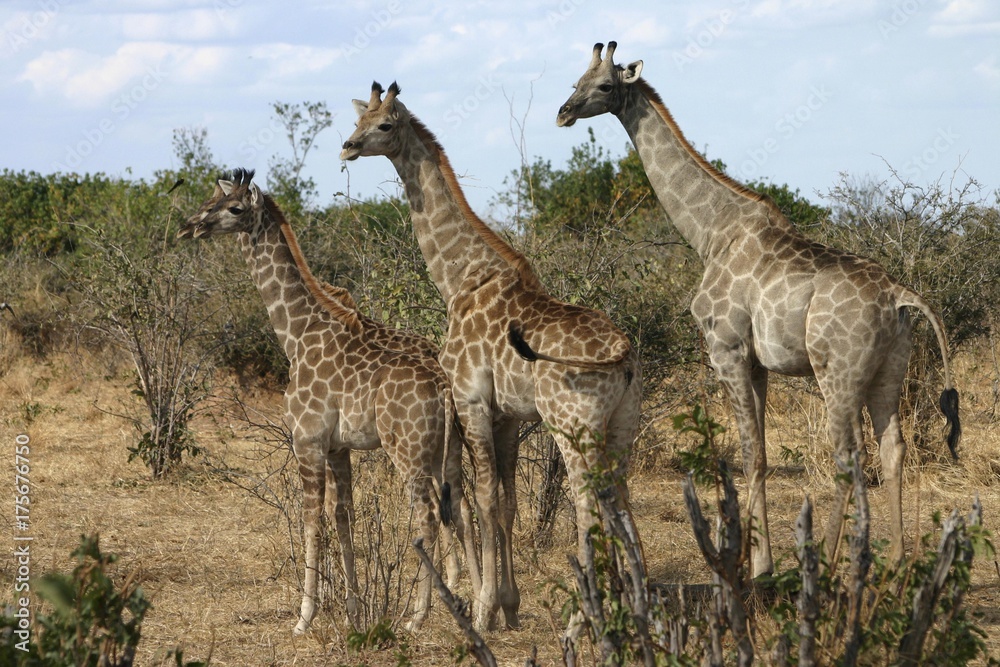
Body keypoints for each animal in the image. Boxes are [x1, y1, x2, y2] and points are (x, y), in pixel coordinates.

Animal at [177, 169, 479, 633]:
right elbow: (343, 519)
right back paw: (479, 607)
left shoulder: (308, 441)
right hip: (447, 450)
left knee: (428, 515)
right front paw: (354, 610)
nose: (190, 226)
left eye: (234, 208)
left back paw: (419, 616)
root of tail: (444, 386)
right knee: (461, 508)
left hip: (408, 451)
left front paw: (305, 617)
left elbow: (312, 522)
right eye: (208, 201)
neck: (297, 335)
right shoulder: (339, 448)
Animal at [341, 82, 643, 631]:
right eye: (359, 120)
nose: (348, 147)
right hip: (621, 423)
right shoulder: (506, 415)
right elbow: (507, 504)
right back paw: (633, 605)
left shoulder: (471, 402)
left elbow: (482, 500)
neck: (460, 278)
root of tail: (625, 353)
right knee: (621, 498)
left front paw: (483, 611)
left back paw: (583, 616)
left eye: (385, 124)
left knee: (589, 505)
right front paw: (509, 605)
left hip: (573, 425)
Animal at [557, 42, 960, 576]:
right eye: (575, 80)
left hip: (837, 370)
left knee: (848, 455)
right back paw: (894, 562)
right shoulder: (759, 363)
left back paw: (827, 560)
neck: (710, 232)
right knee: (893, 447)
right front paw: (763, 561)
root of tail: (899, 295)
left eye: (604, 86)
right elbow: (763, 455)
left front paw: (752, 564)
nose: (563, 113)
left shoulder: (725, 349)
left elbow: (747, 453)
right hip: (889, 369)